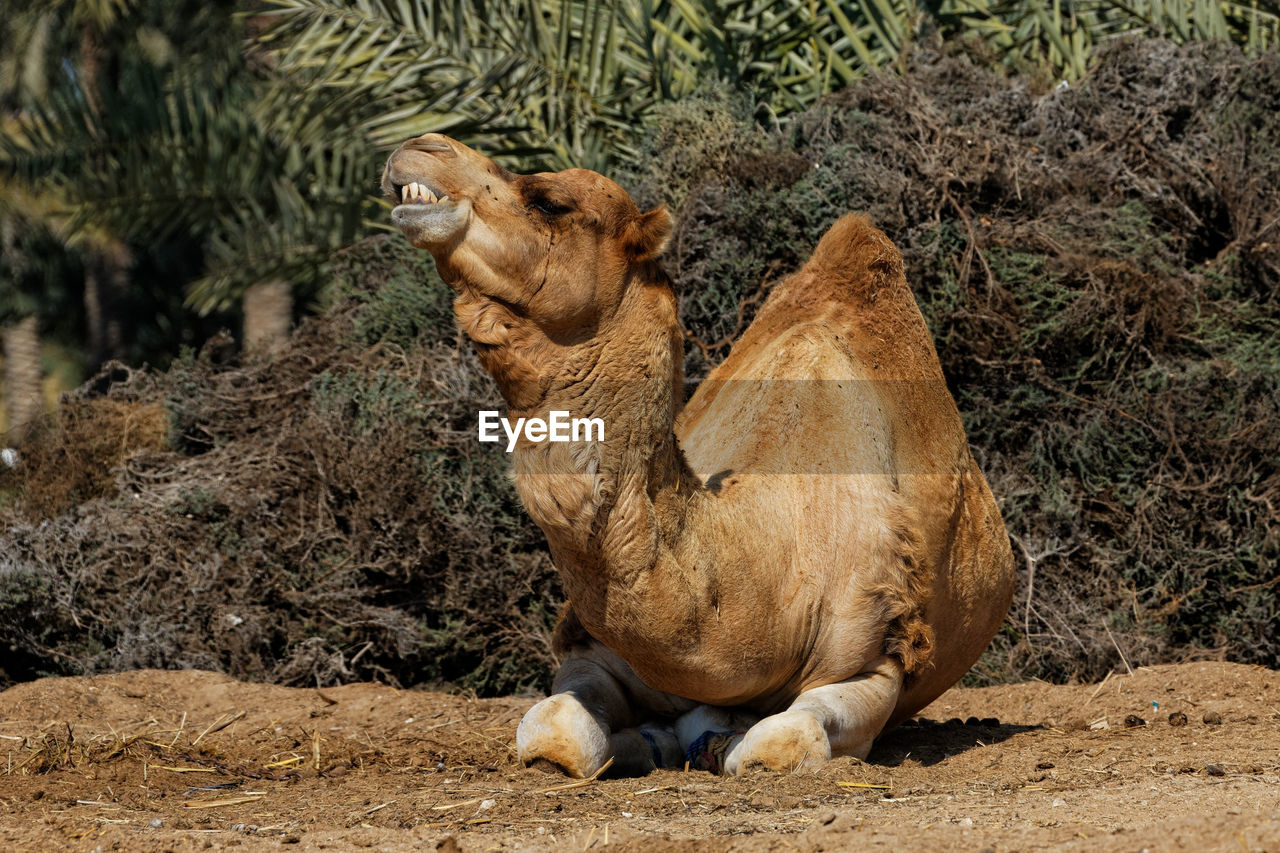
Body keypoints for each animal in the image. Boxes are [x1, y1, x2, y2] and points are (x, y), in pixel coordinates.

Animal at [376, 129, 1008, 773]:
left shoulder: (875, 656)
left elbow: (779, 742)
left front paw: (725, 741)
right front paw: (646, 741)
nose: (420, 145)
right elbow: (554, 733)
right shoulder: (598, 650)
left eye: (549, 201)